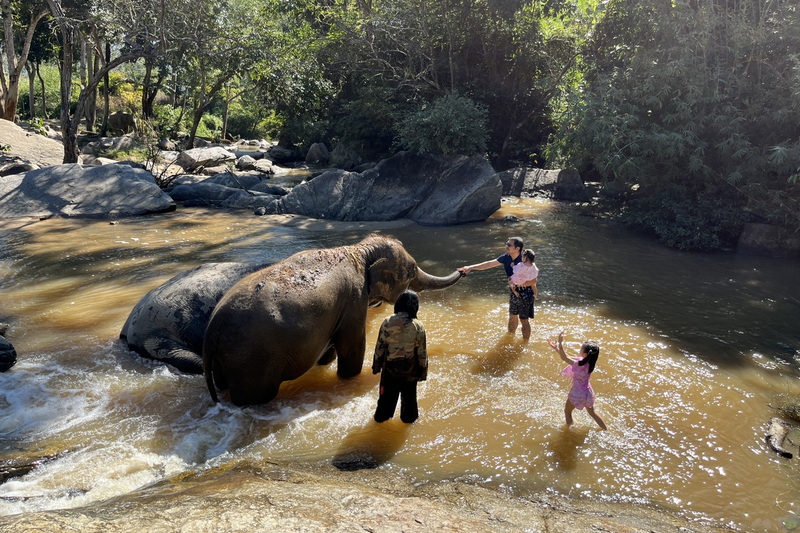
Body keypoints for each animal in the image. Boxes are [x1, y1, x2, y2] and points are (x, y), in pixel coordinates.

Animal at [203, 235, 462, 406]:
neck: (360, 251)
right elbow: (352, 345)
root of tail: (212, 329)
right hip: (252, 359)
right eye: (411, 272)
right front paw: (352, 378)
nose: (462, 269)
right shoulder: (354, 298)